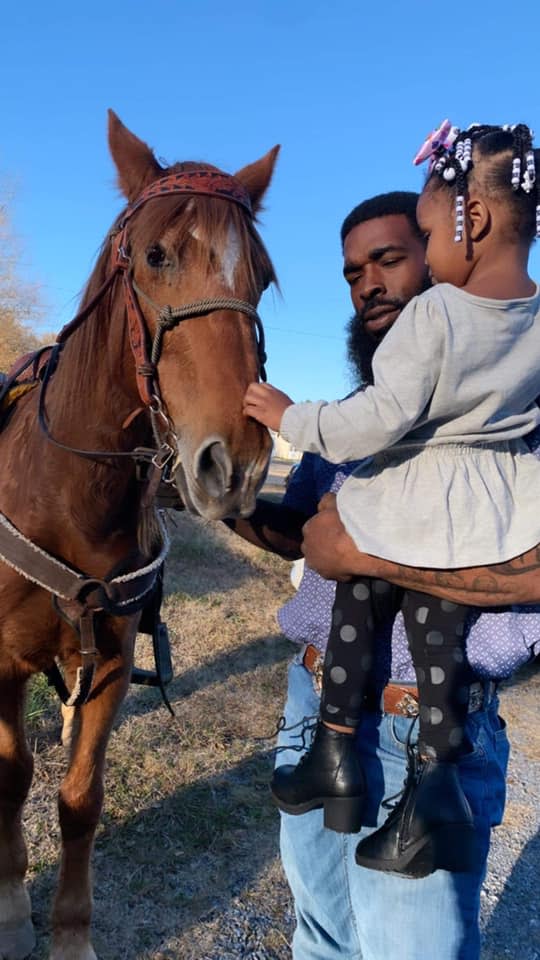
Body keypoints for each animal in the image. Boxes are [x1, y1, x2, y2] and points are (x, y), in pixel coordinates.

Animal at [0, 114, 278, 960]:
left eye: (262, 275)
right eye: (156, 255)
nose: (238, 464)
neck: (66, 493)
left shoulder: (116, 663)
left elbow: (79, 798)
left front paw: (69, 933)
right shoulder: (0, 664)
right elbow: (11, 776)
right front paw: (9, 904)